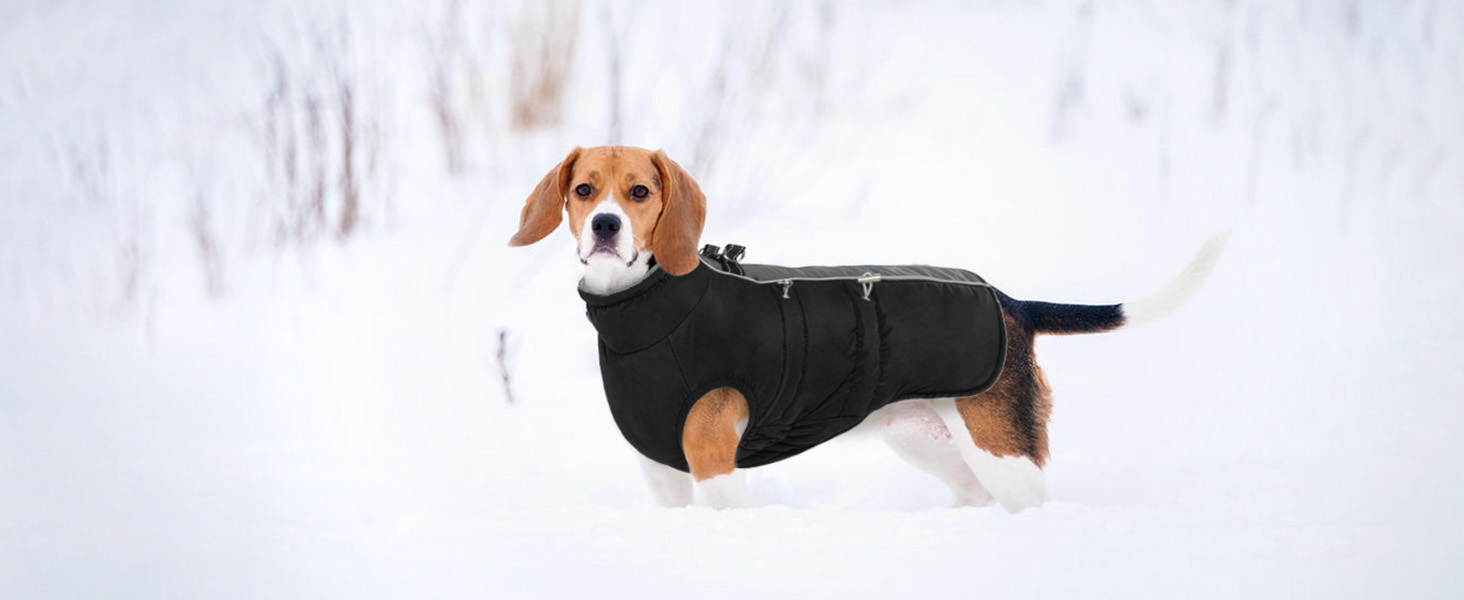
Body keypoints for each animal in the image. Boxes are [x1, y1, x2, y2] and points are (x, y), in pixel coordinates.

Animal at [509, 145, 1229, 512]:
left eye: (639, 192)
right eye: (583, 190)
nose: (605, 226)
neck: (650, 312)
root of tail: (1010, 303)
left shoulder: (715, 466)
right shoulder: (662, 471)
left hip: (1003, 456)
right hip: (930, 442)